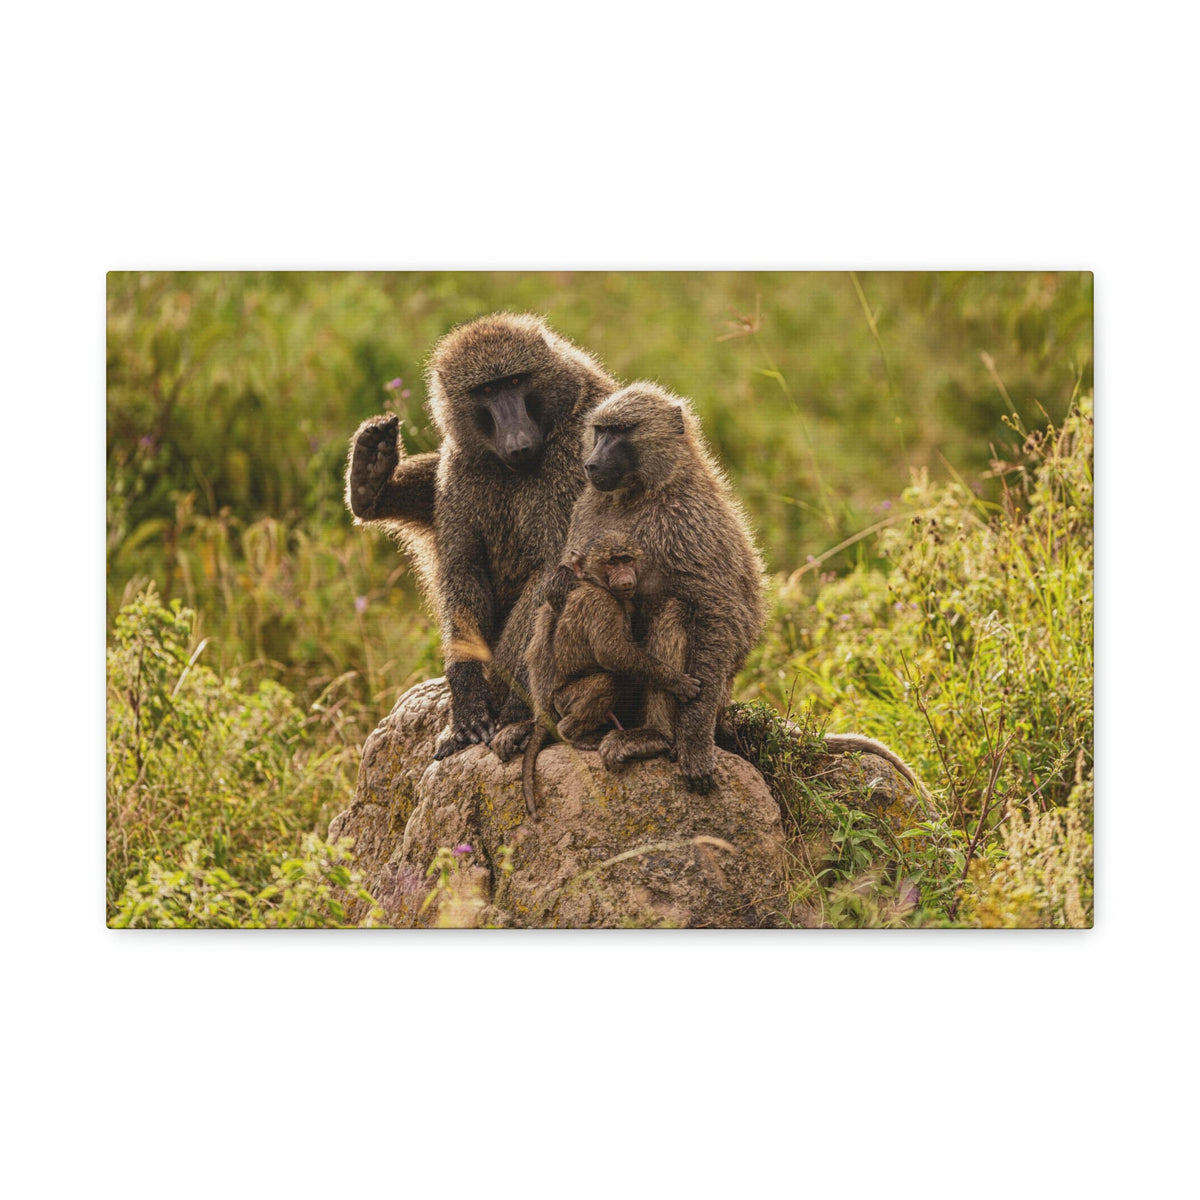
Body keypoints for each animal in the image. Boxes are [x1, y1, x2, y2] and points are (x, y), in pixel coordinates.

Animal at [345, 313, 618, 762]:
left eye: (515, 382)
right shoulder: (464, 464)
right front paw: (469, 702)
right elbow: (463, 566)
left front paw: (511, 713)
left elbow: (553, 575)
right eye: (487, 390)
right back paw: (370, 483)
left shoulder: (577, 459)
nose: (518, 441)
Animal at [519, 535, 701, 817]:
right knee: (607, 681)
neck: (597, 583)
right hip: (564, 699)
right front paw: (676, 681)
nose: (625, 577)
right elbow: (612, 652)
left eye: (626, 559)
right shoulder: (601, 603)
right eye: (612, 562)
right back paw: (573, 735)